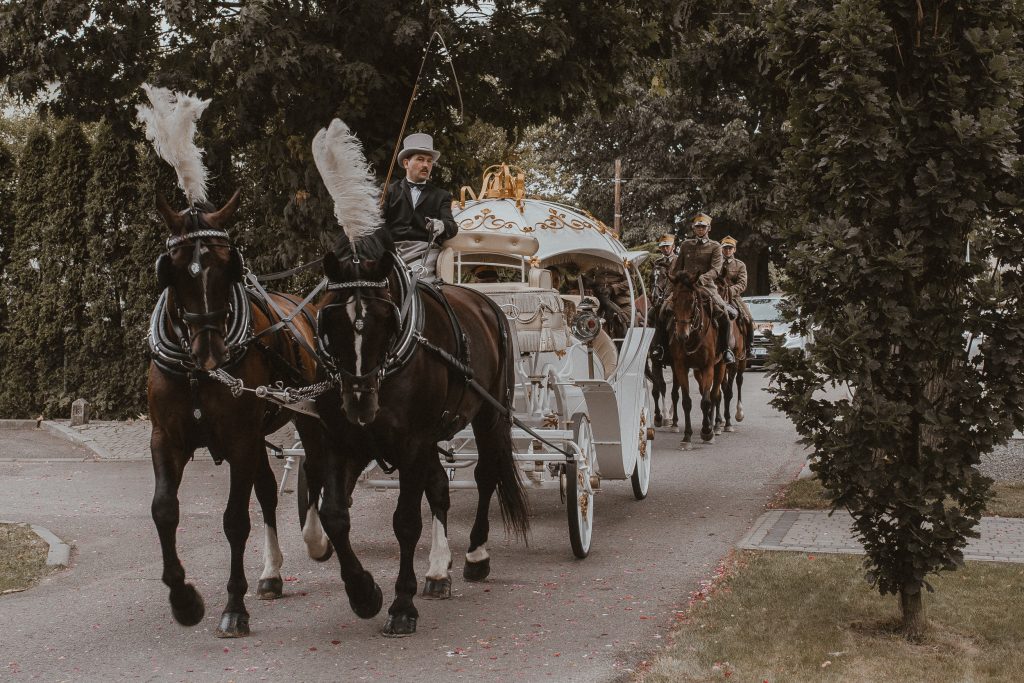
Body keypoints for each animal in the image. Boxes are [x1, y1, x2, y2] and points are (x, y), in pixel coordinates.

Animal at [146, 191, 331, 634]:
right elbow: (164, 510)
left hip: (305, 416)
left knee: (315, 469)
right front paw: (184, 601)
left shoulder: (239, 441)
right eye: (173, 271)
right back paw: (272, 574)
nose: (211, 353)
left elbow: (234, 520)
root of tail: (300, 305)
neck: (196, 374)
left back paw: (316, 539)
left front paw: (233, 607)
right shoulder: (166, 439)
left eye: (228, 265)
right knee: (267, 491)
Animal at [309, 228, 532, 634]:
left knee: (486, 475)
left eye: (387, 318)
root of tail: (486, 303)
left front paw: (401, 605)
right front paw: (363, 594)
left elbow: (407, 522)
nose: (360, 404)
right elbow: (333, 514)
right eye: (330, 320)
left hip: (490, 418)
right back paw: (439, 571)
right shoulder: (341, 442)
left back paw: (476, 554)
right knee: (440, 488)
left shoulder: (410, 445)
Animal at [667, 270, 724, 446]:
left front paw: (707, 432)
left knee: (714, 395)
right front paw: (687, 436)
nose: (681, 335)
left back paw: (714, 427)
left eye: (692, 301)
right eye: (674, 299)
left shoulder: (708, 366)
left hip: (721, 365)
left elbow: (706, 401)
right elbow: (687, 401)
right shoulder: (680, 367)